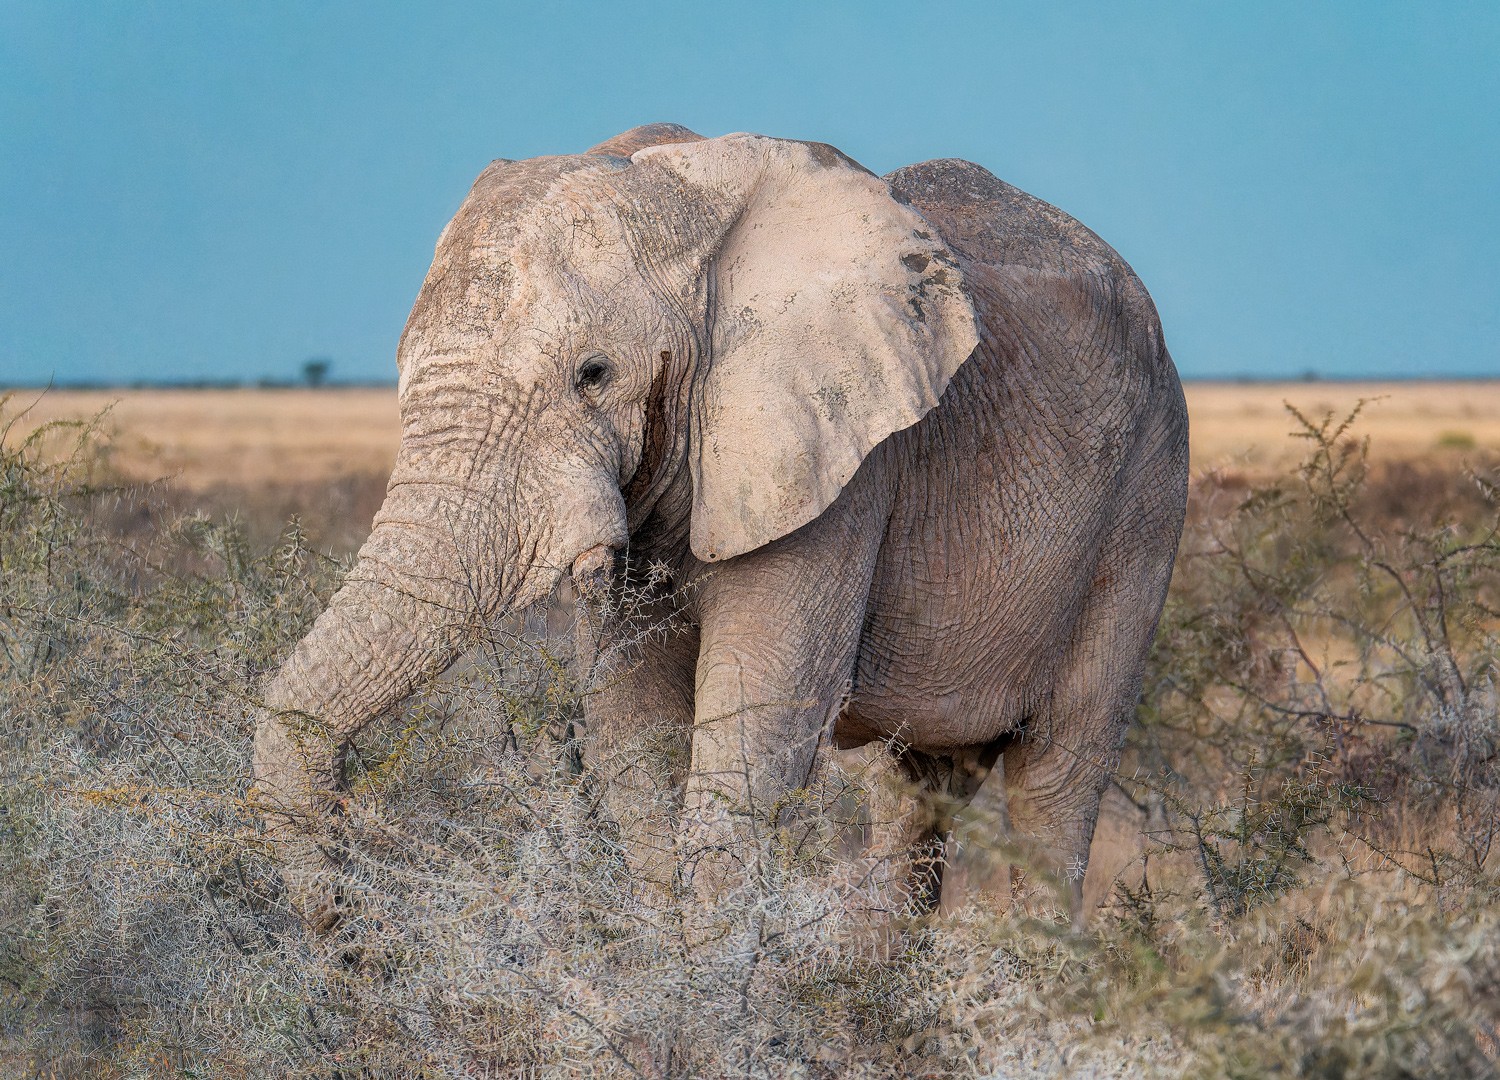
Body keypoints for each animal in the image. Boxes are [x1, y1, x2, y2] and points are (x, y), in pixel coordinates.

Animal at [250, 122, 1189, 931]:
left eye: (594, 374)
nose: (346, 937)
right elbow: (633, 739)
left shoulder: (843, 470)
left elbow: (750, 740)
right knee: (911, 791)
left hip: (1145, 503)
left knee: (1057, 778)